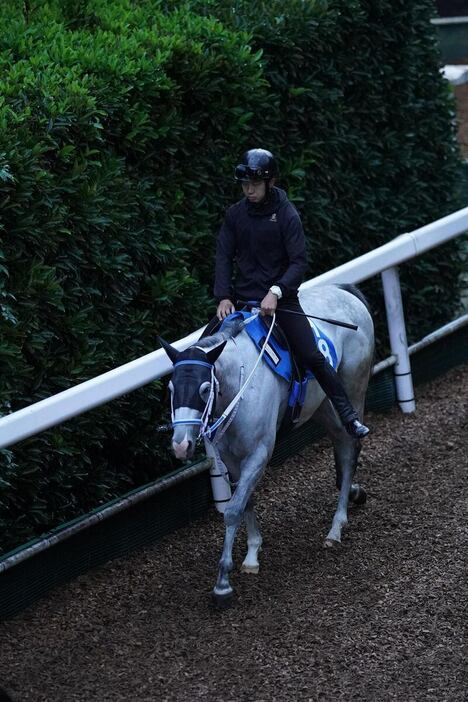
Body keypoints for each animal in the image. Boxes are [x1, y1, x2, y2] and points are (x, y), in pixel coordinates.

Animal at [159, 284, 374, 608]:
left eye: (205, 389)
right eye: (172, 388)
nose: (181, 444)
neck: (239, 385)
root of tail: (344, 290)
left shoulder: (258, 454)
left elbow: (233, 509)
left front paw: (223, 583)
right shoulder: (229, 458)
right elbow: (244, 502)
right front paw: (251, 554)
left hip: (353, 388)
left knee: (350, 448)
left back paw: (336, 527)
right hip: (321, 404)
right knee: (340, 441)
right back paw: (353, 492)